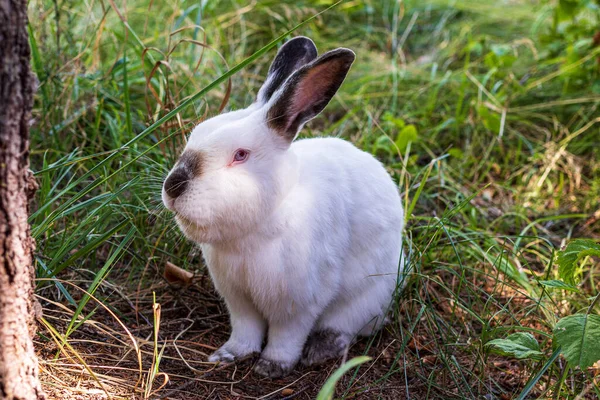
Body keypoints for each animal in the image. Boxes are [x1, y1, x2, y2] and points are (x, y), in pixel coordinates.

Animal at [162, 36, 406, 376]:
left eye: (241, 155)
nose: (173, 187)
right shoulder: (237, 298)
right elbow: (246, 330)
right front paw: (228, 355)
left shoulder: (298, 303)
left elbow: (286, 336)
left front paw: (271, 367)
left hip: (367, 297)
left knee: (347, 326)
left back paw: (321, 350)